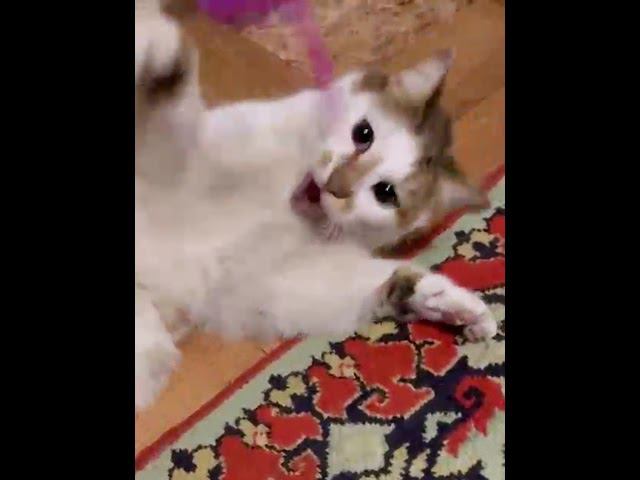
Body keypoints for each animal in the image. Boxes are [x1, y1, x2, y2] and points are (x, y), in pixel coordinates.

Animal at [135, 2, 498, 410]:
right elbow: (176, 126)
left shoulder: (276, 282)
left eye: (385, 193)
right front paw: (159, 47)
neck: (279, 201)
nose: (335, 185)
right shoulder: (182, 165)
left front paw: (454, 306)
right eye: (363, 133)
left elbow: (383, 282)